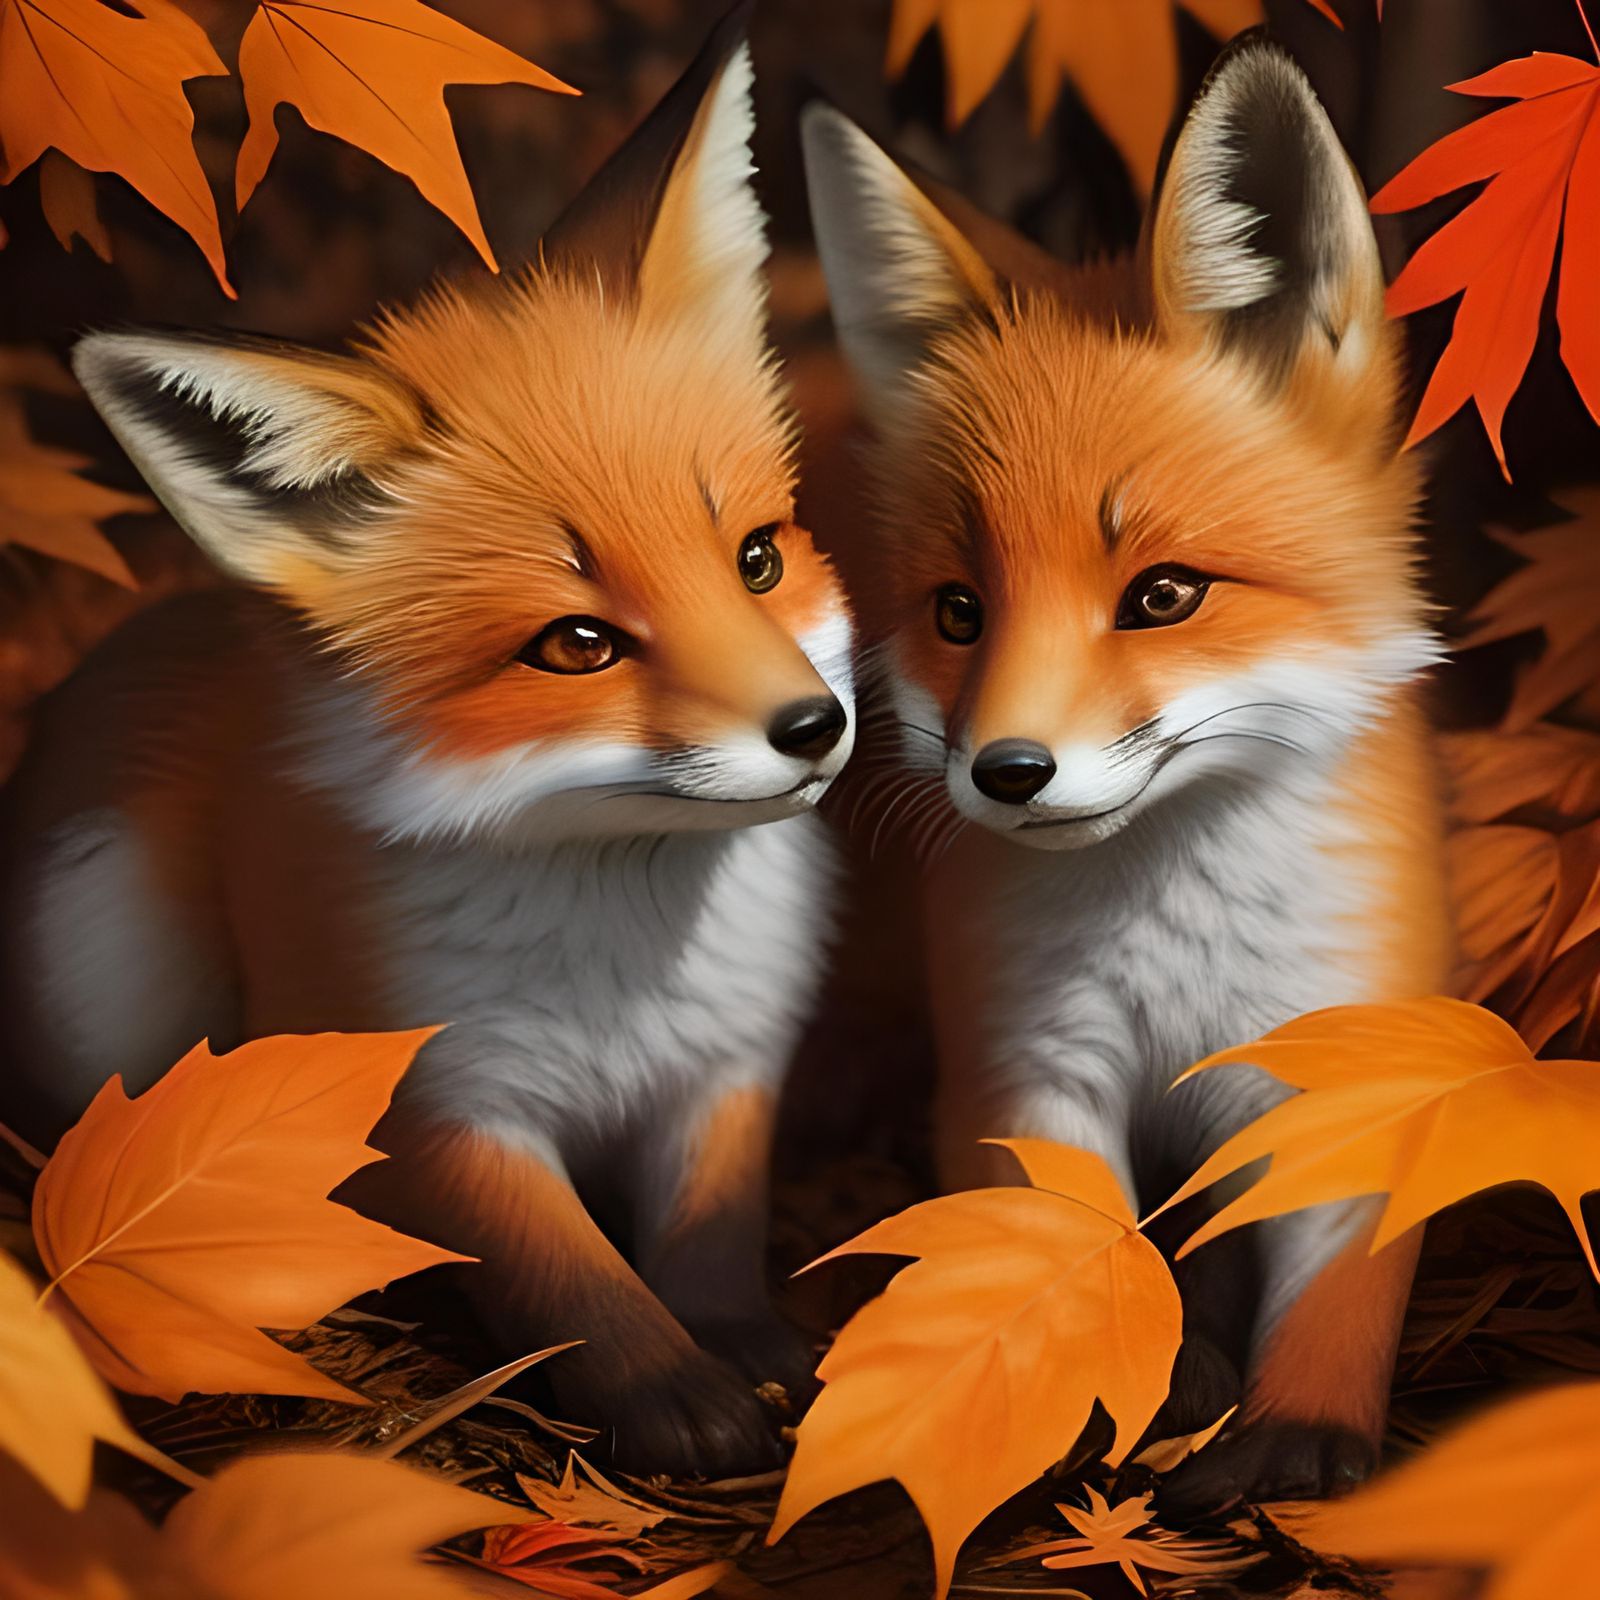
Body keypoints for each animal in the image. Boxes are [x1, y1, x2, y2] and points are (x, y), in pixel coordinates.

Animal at [0, 9, 855, 1477]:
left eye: (757, 559)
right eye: (577, 645)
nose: (814, 728)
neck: (622, 956)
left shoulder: (727, 1071)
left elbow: (708, 1243)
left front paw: (743, 1345)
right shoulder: (438, 1099)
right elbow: (564, 1269)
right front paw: (668, 1391)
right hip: (105, 957)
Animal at [801, 37, 1453, 1511]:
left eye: (1162, 596)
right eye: (960, 612)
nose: (1006, 771)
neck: (1176, 944)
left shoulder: (1348, 1062)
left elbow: (1333, 1290)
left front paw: (1299, 1432)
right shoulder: (1029, 1063)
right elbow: (1080, 1253)